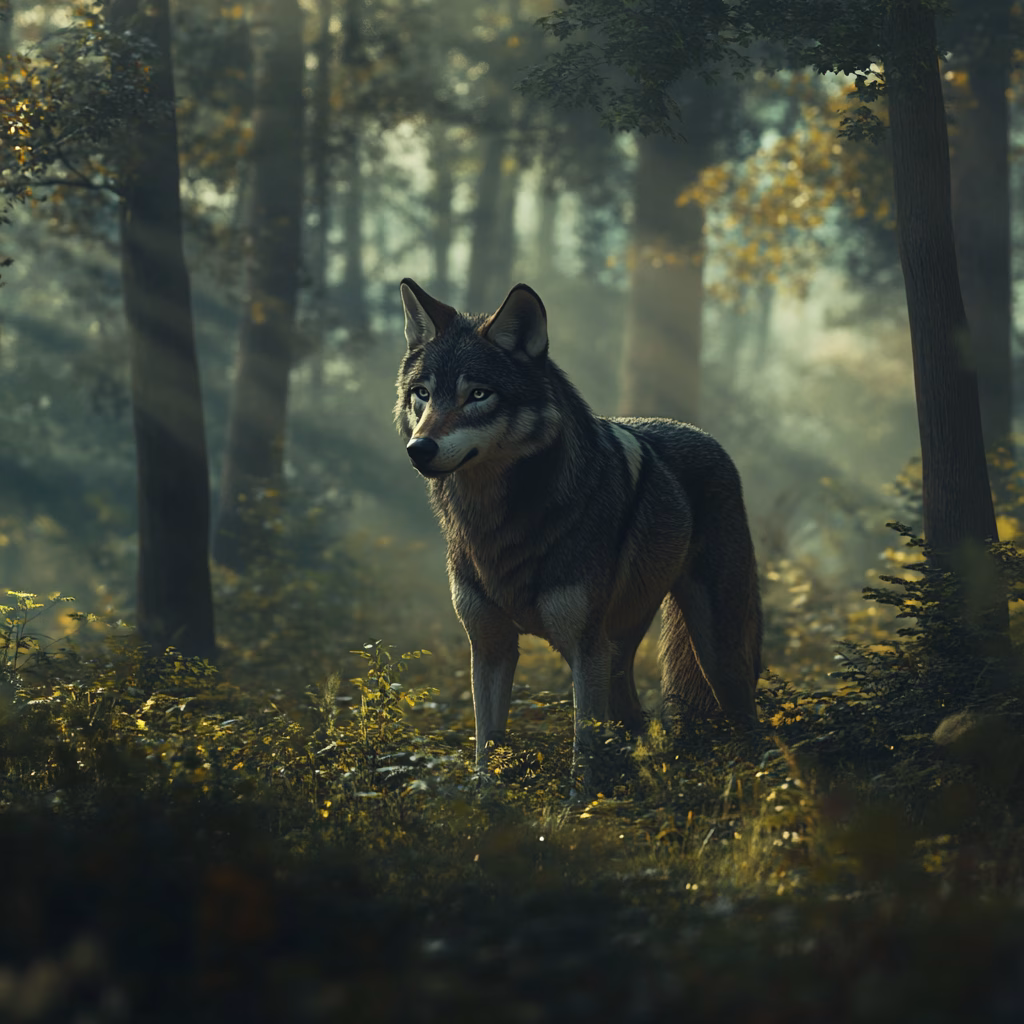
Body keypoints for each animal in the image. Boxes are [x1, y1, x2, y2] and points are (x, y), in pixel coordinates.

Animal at [395, 279, 762, 787]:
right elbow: (487, 751)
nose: (420, 449)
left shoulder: (583, 649)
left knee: (748, 718)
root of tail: (702, 434)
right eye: (423, 394)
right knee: (642, 722)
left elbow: (583, 753)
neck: (499, 526)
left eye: (479, 394)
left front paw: (583, 806)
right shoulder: (489, 647)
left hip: (711, 652)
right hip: (618, 652)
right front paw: (485, 802)